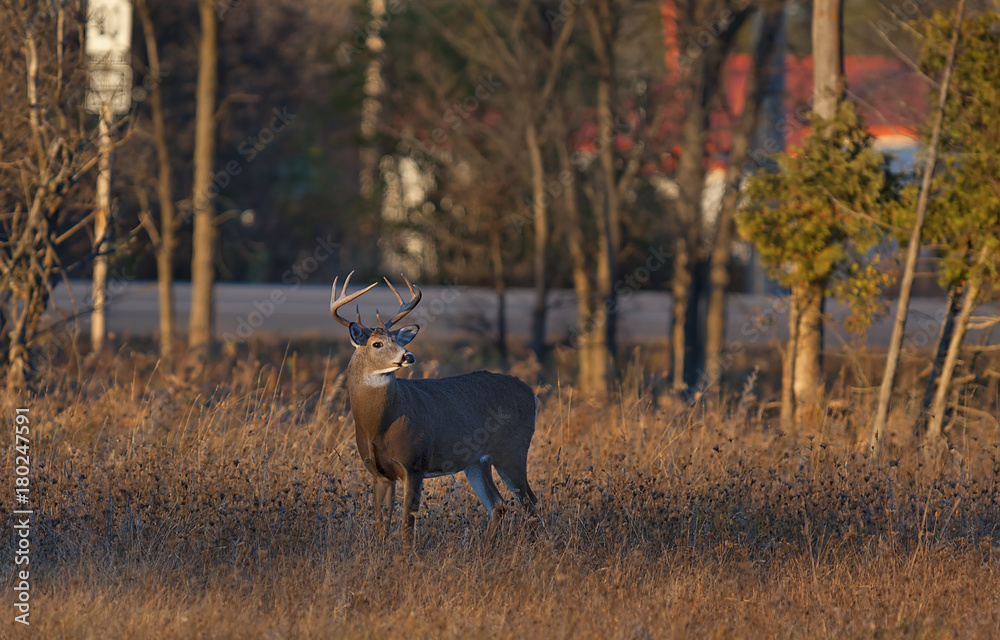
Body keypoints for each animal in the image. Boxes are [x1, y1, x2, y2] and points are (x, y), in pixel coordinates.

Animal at [330, 272, 539, 539]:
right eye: (377, 344)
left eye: (397, 339)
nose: (407, 356)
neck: (378, 426)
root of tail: (530, 393)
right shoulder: (379, 473)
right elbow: (381, 525)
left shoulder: (414, 464)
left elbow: (407, 525)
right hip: (477, 462)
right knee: (498, 505)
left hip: (512, 450)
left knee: (530, 502)